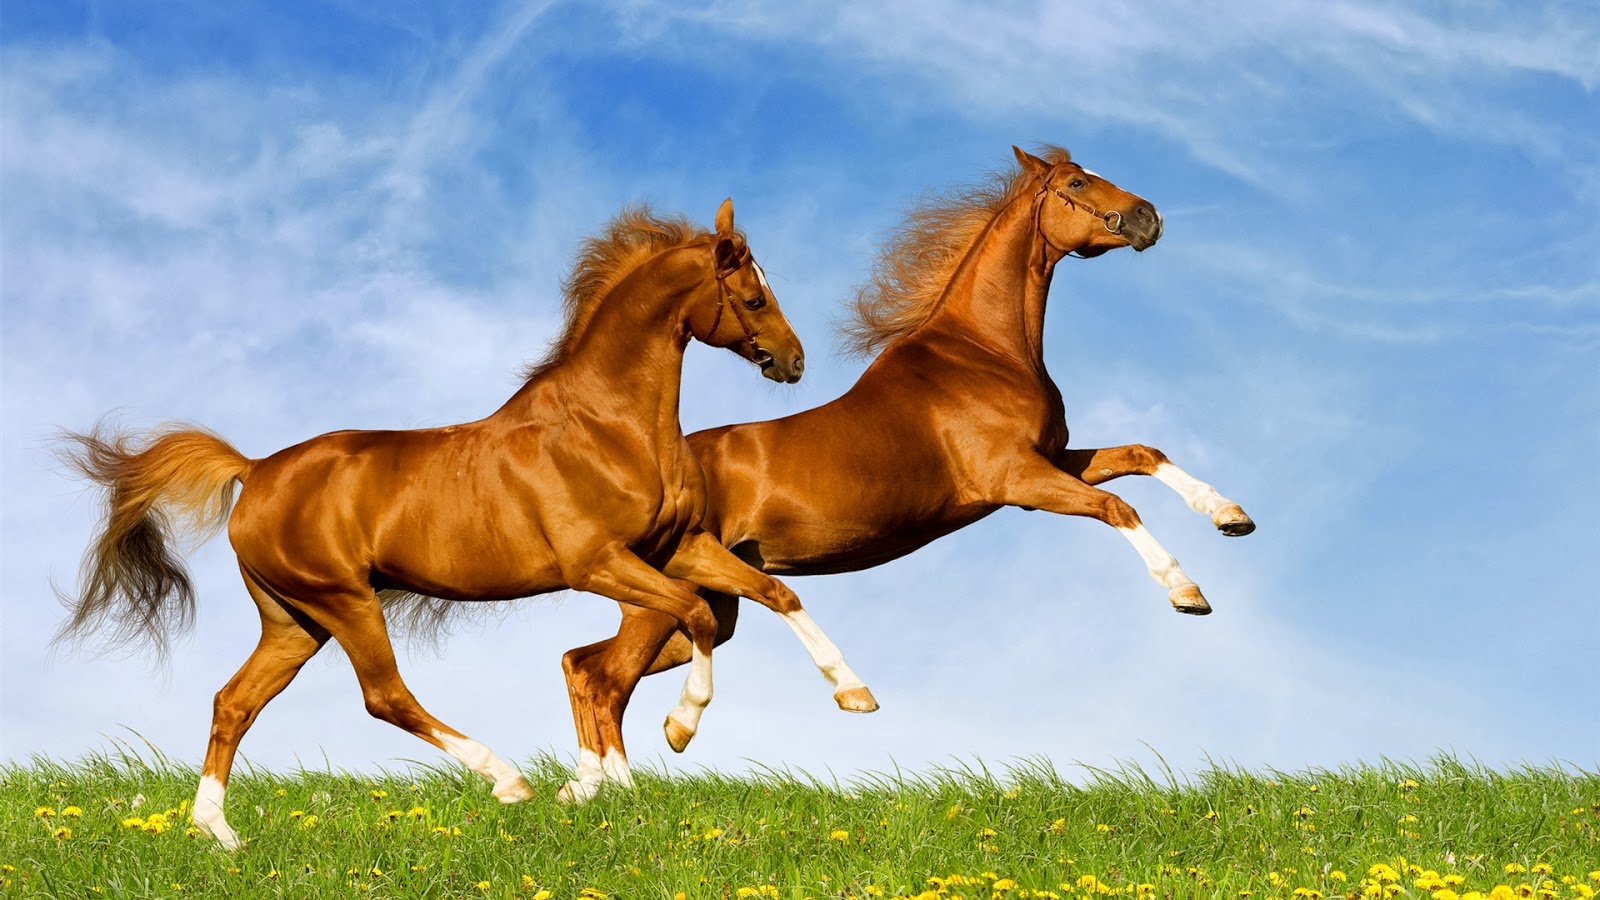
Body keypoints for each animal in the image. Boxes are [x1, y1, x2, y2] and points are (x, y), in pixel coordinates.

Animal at [55, 200, 875, 849]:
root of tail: (254, 471)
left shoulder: (677, 548)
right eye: (753, 297)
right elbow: (695, 617)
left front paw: (854, 694)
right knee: (384, 696)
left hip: (293, 620)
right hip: (344, 601)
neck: (607, 425)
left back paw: (218, 834)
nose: (794, 362)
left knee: (235, 703)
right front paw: (676, 731)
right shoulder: (597, 563)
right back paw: (507, 779)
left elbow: (775, 593)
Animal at [557, 147, 1255, 793]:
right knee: (603, 678)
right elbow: (1118, 507)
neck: (984, 352)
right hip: (665, 602)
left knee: (583, 664)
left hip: (707, 605)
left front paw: (1230, 515)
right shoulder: (1020, 481)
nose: (1148, 217)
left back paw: (588, 787)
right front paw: (1187, 592)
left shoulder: (1055, 460)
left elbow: (1144, 455)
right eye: (1078, 183)